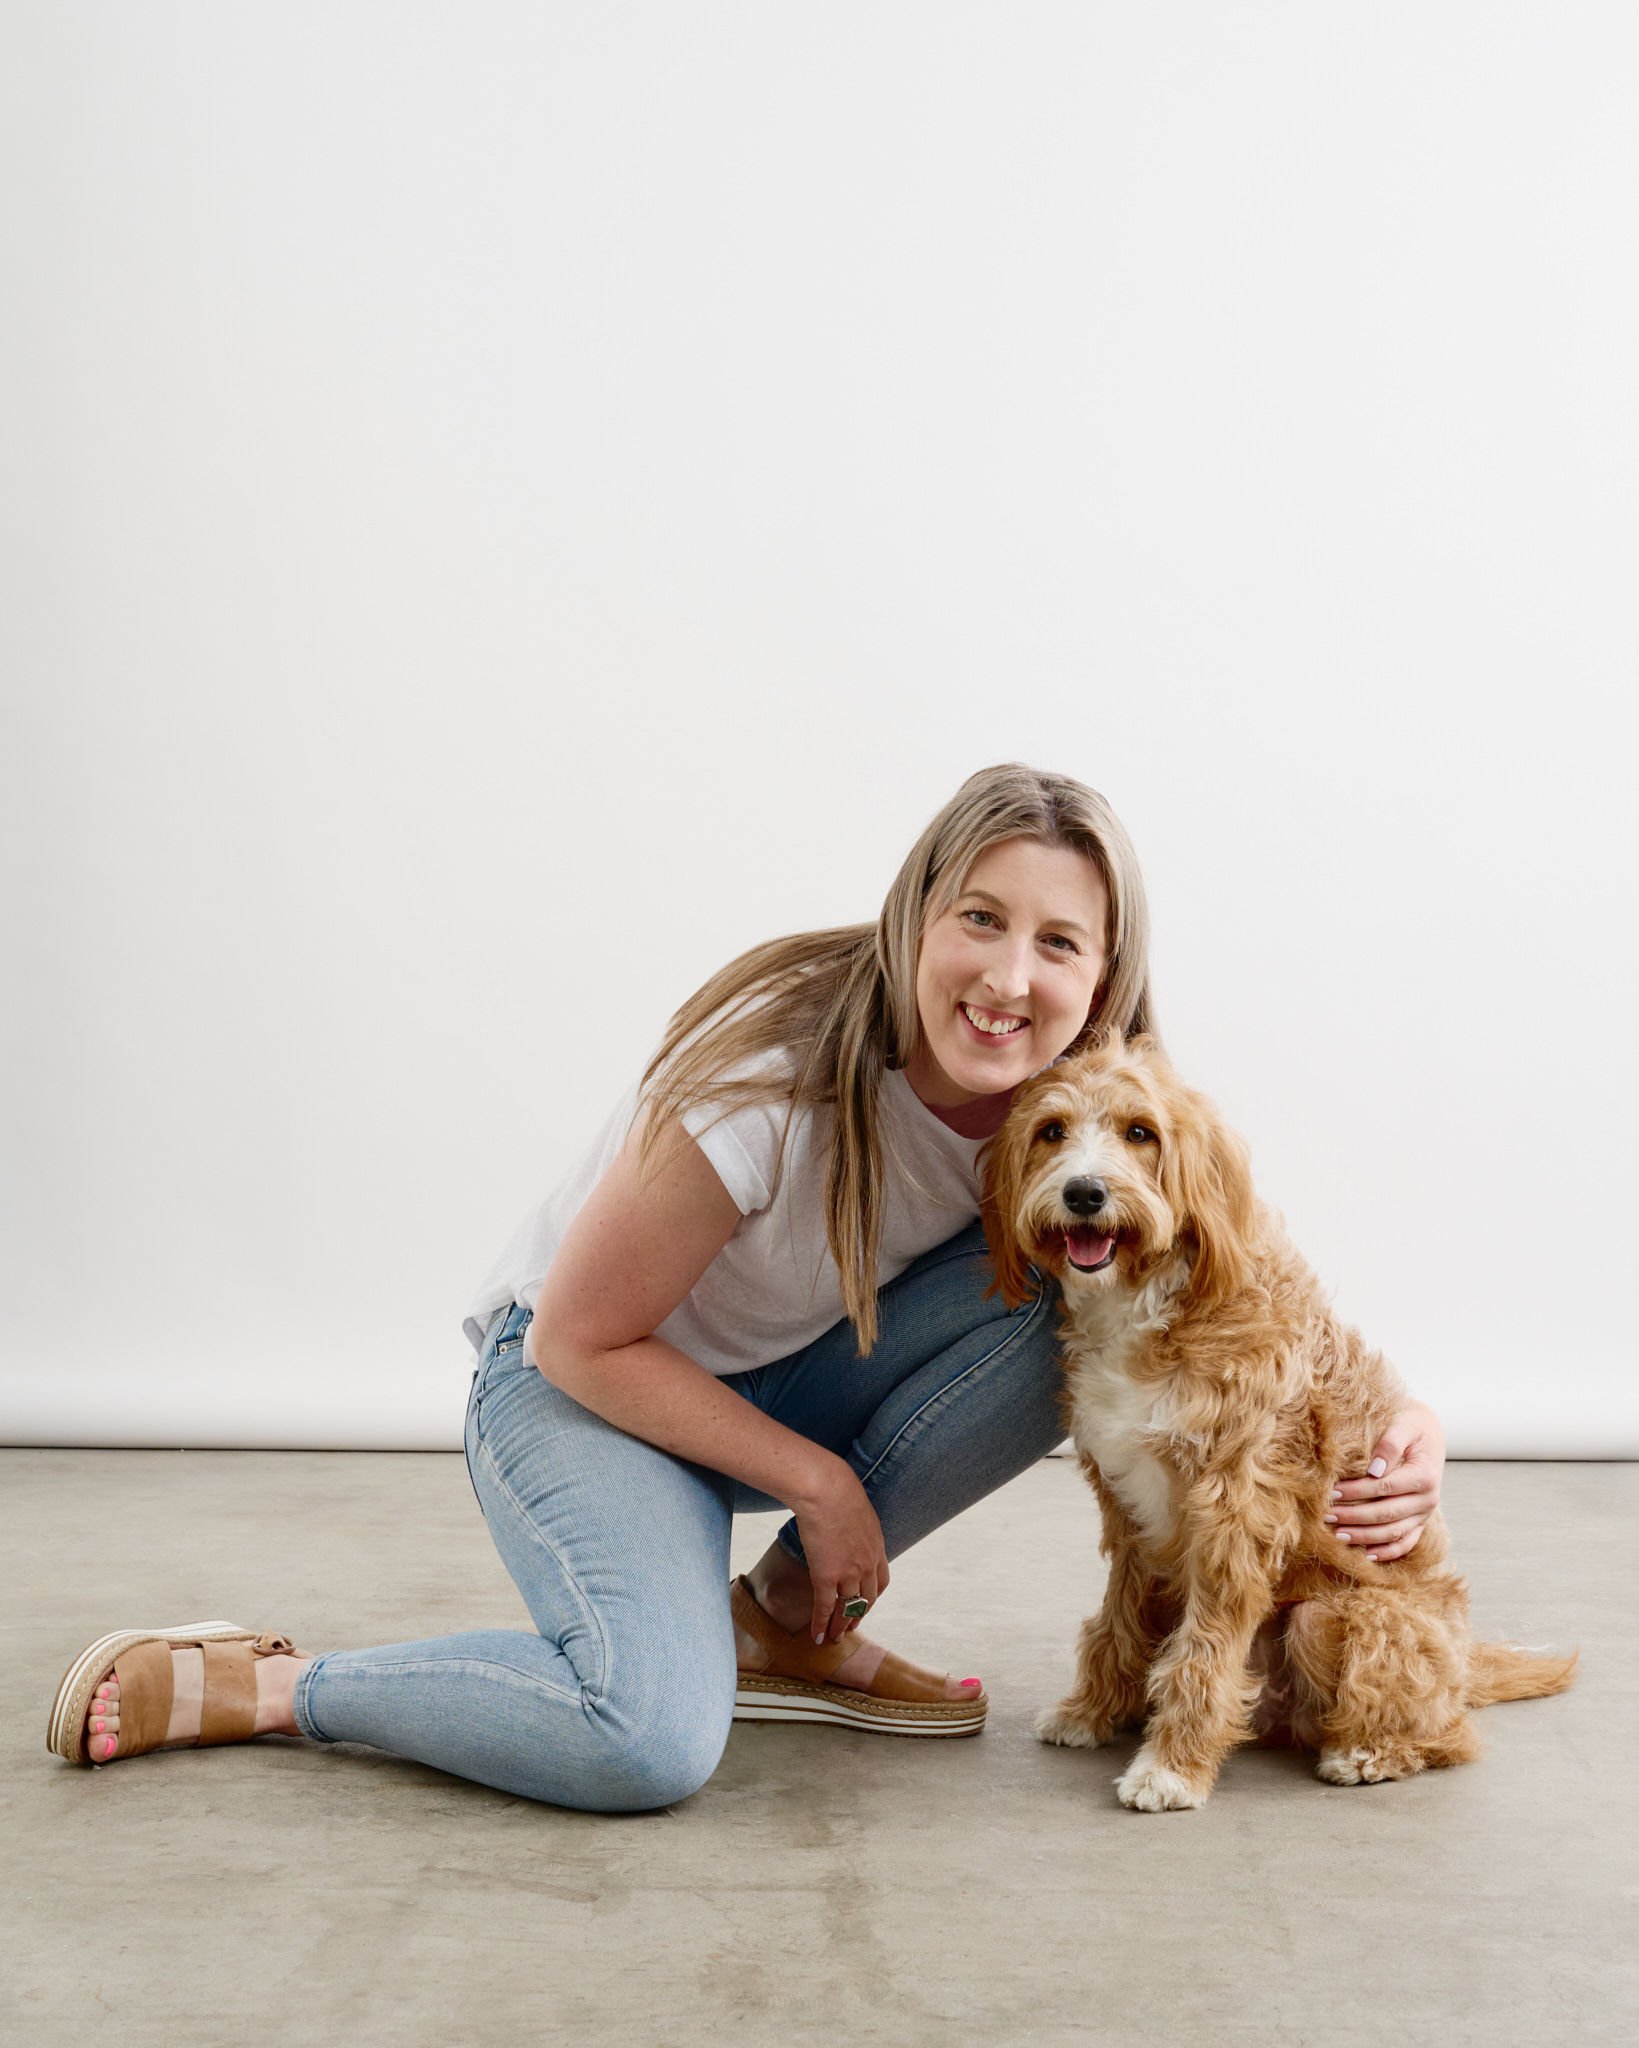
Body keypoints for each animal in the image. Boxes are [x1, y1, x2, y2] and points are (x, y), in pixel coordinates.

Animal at [980, 1033, 1575, 1810]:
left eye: (1140, 1133)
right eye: (1051, 1131)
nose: (1084, 1193)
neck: (1153, 1298)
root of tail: (1467, 1664)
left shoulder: (1233, 1514)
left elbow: (1202, 1654)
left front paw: (1170, 1768)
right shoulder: (1130, 1508)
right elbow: (1116, 1619)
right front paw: (1090, 1712)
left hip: (1333, 1622)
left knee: (1447, 1736)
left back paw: (1367, 1753)